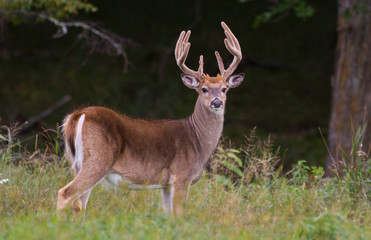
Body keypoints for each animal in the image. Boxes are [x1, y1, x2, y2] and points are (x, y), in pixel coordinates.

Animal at [57, 21, 244, 215]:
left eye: (224, 89)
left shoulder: (166, 185)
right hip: (98, 159)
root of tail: (78, 114)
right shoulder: (181, 176)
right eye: (203, 89)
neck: (198, 140)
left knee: (78, 204)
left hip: (79, 163)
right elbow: (179, 215)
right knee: (65, 194)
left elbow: (168, 215)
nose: (217, 102)